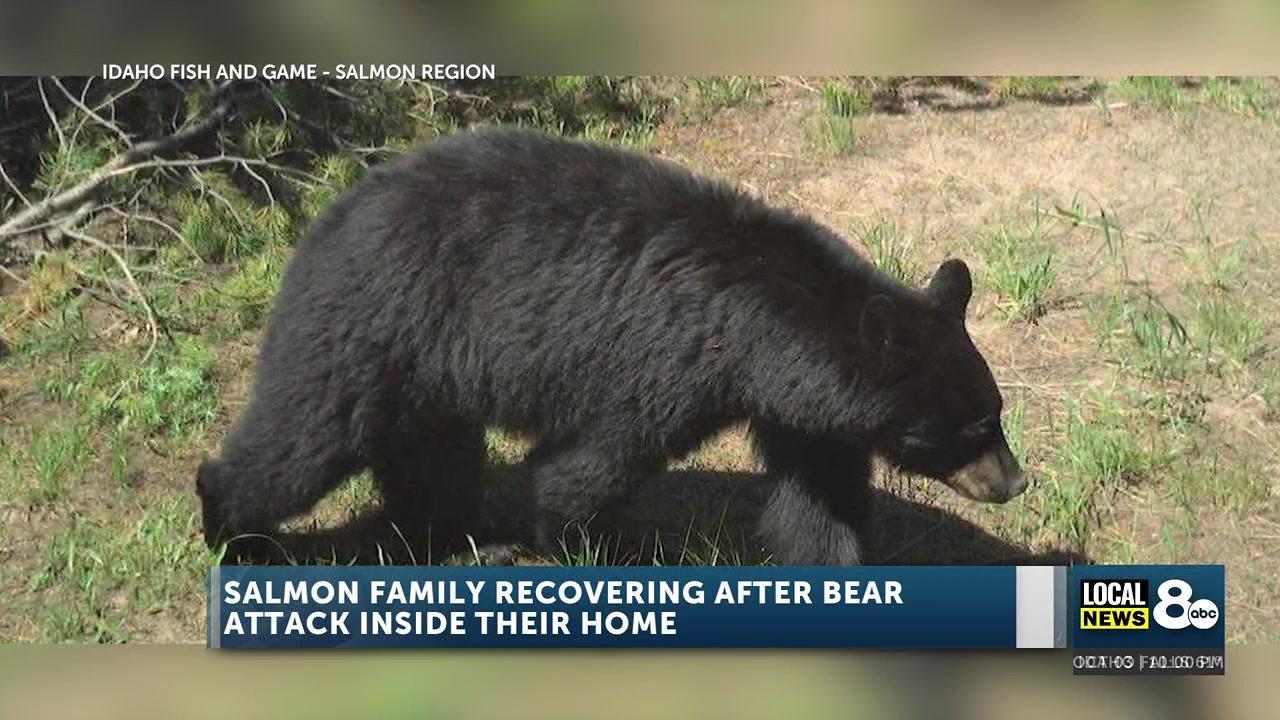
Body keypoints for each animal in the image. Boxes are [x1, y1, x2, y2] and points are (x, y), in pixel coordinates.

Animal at [196, 126, 1027, 567]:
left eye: (996, 413)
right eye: (973, 427)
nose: (1014, 481)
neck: (762, 332)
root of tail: (329, 213)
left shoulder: (799, 406)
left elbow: (820, 495)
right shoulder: (663, 364)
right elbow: (587, 464)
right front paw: (579, 547)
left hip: (427, 369)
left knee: (433, 460)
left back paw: (455, 540)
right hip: (374, 323)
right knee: (303, 439)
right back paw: (233, 533)